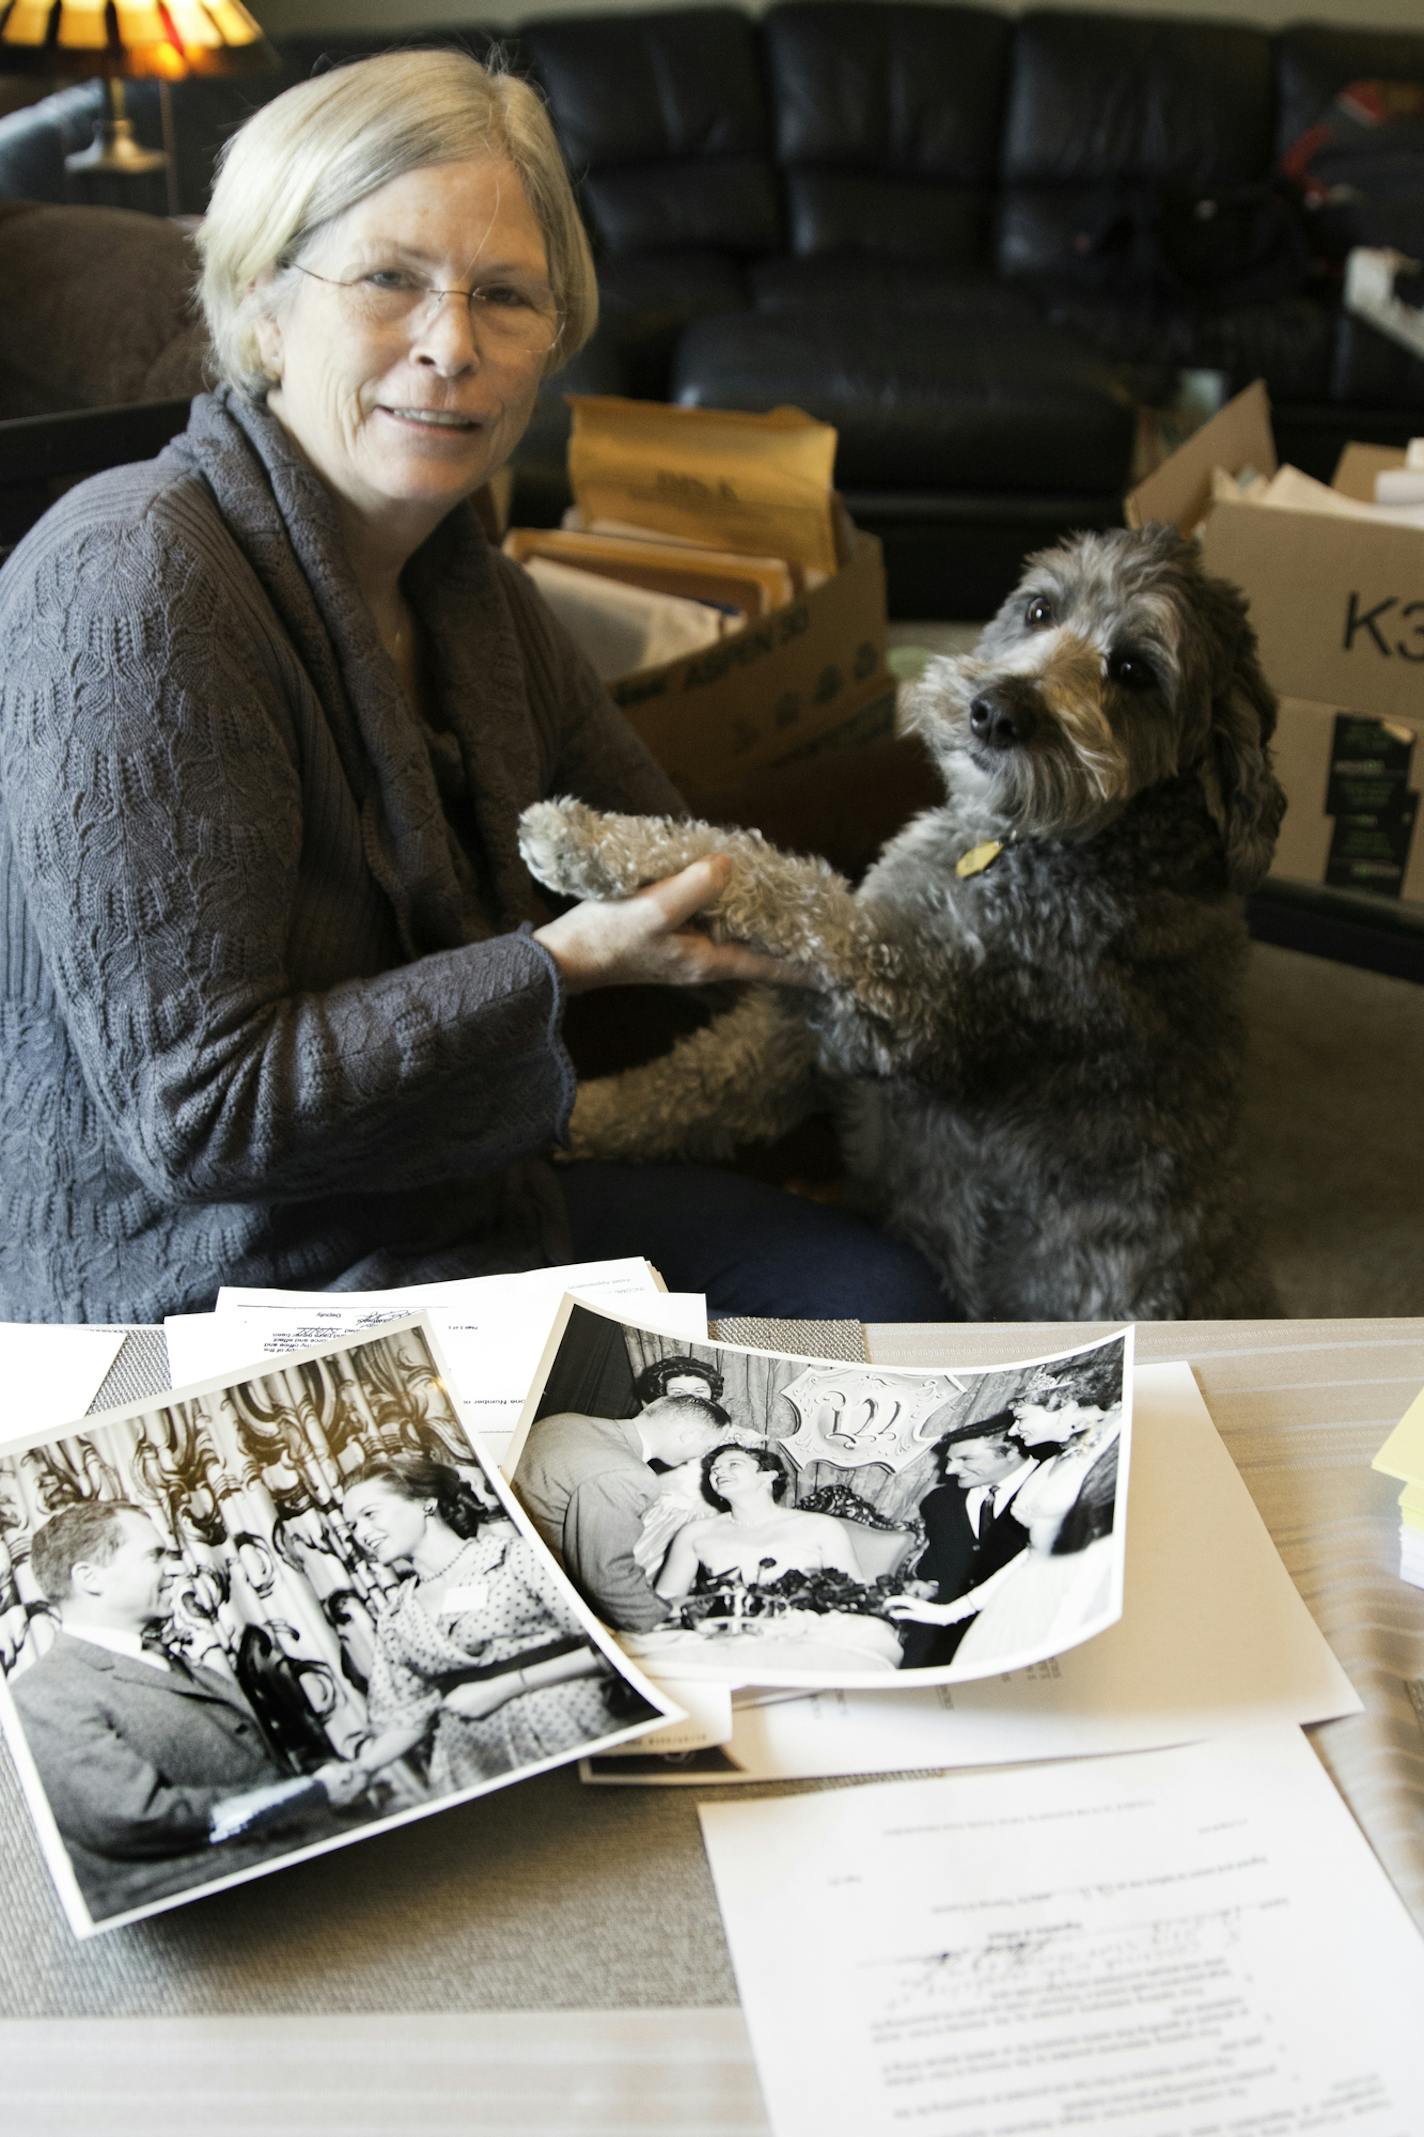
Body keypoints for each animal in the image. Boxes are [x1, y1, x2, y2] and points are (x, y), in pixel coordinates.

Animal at [521, 525, 1282, 1316]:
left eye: (1134, 669)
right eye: (1041, 609)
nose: (996, 712)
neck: (1041, 841)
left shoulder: (900, 994)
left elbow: (778, 877)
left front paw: (584, 838)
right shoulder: (813, 1032)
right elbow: (685, 1085)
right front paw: (573, 1117)